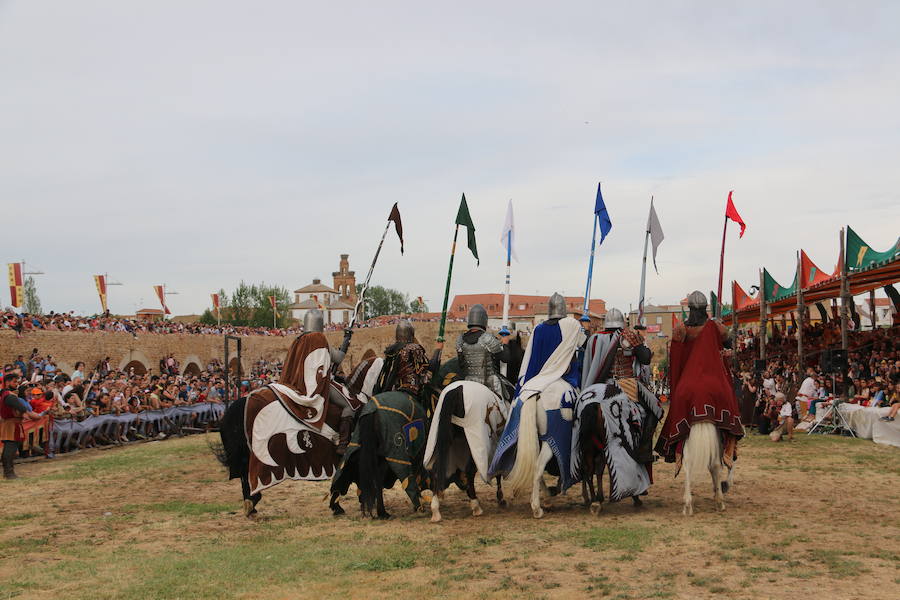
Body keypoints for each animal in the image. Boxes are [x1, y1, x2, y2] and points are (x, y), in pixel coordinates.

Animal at [426, 382, 510, 524]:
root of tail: (457, 389)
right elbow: (497, 472)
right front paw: (501, 498)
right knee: (469, 471)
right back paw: (476, 506)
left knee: (436, 471)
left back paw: (436, 510)